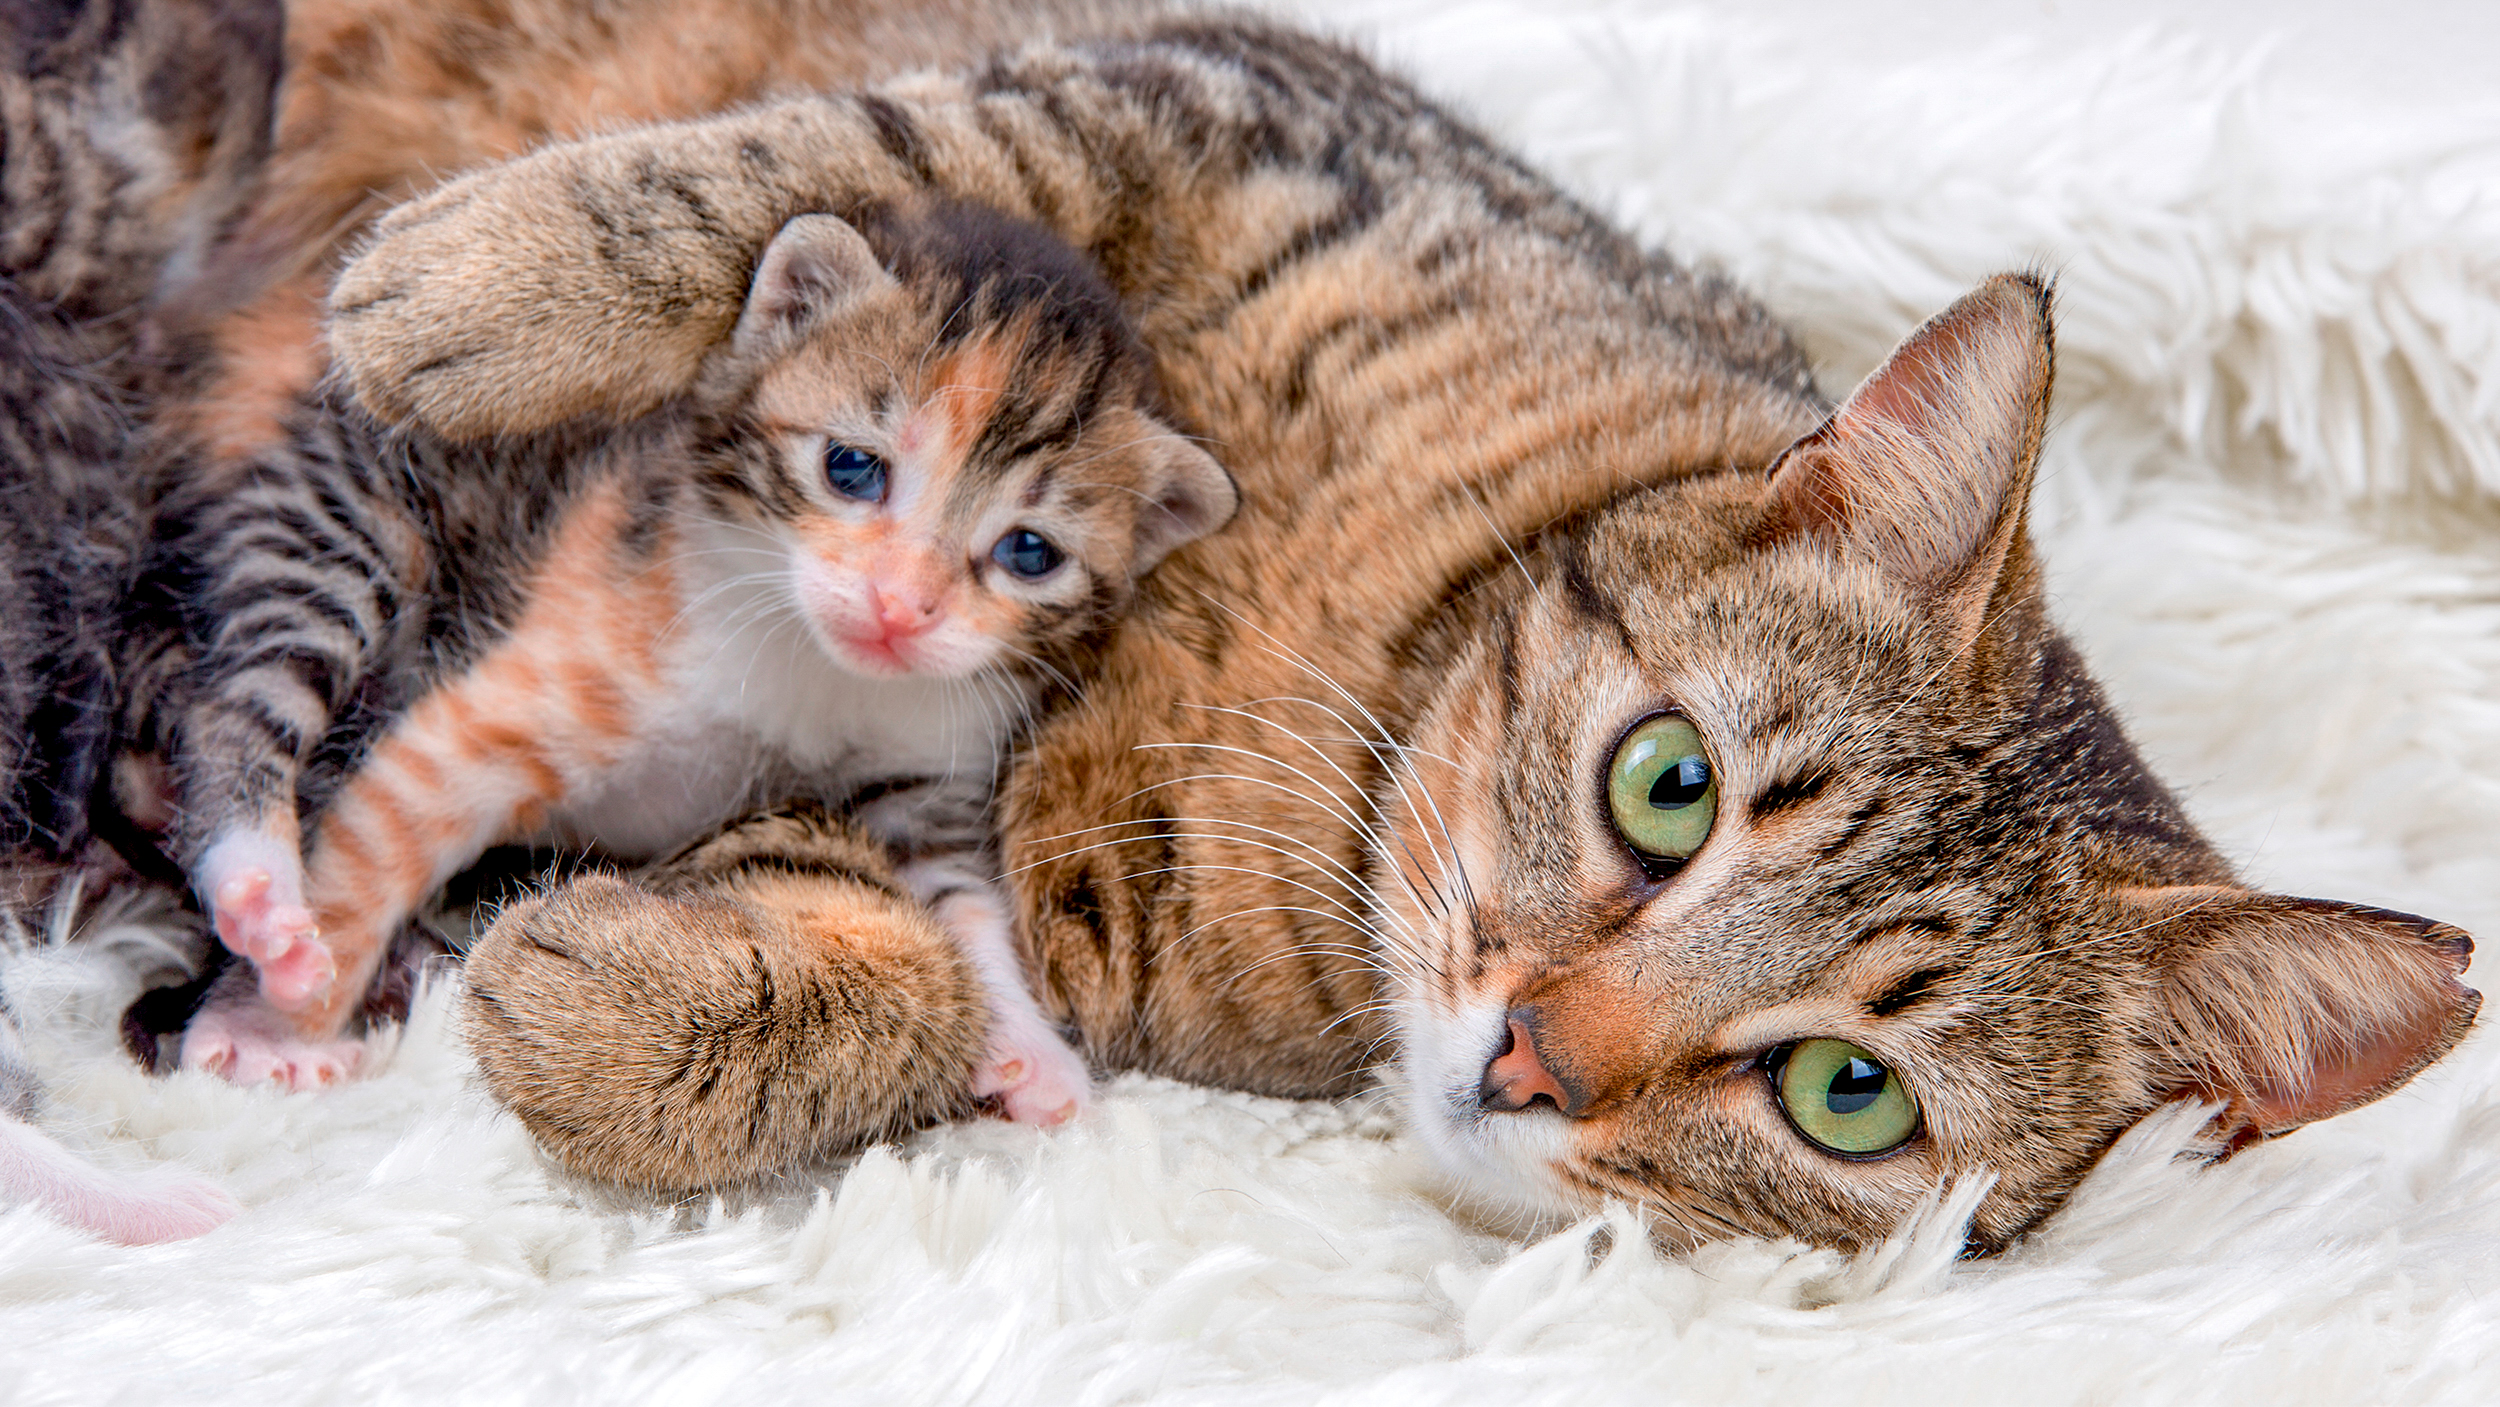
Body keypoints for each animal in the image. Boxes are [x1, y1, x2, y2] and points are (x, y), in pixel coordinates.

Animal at [317, 13, 2480, 1254]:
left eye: (1844, 1096)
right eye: (1667, 786)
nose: (1529, 1060)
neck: (1357, 692)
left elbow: (913, 941)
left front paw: (625, 1007)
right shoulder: (1219, 92)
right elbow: (864, 153)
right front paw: (483, 280)